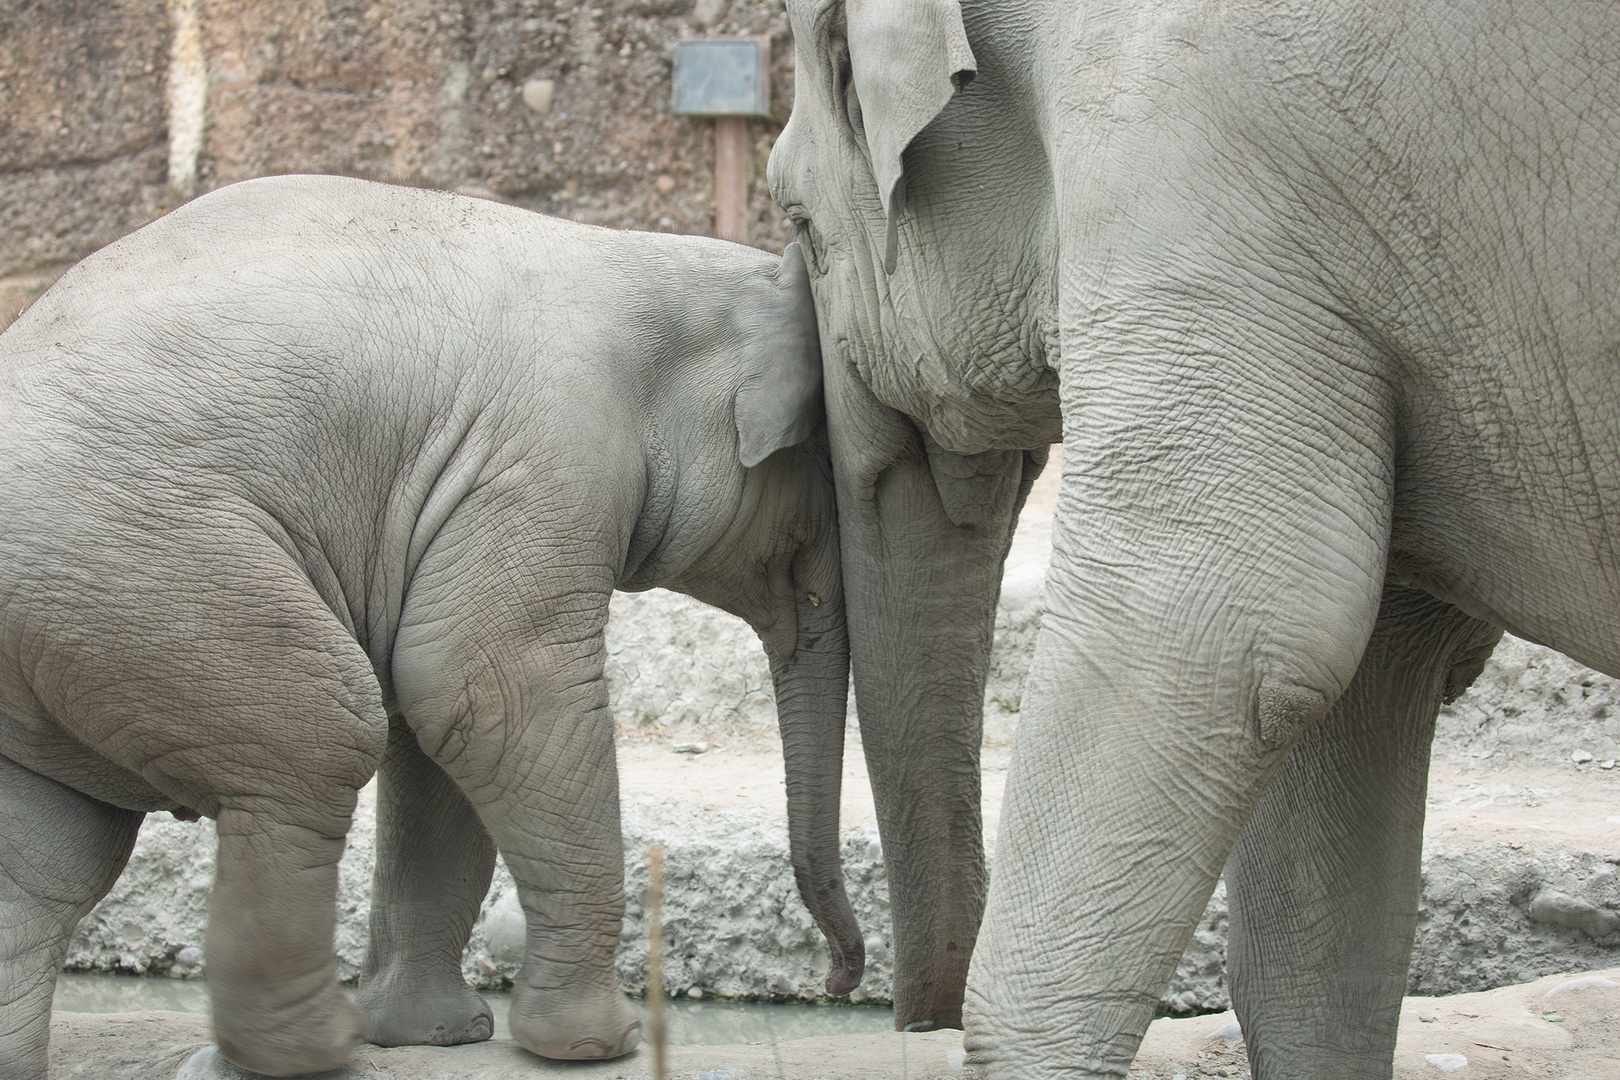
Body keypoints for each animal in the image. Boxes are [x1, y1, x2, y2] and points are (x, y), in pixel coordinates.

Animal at [0, 173, 868, 1075]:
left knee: (50, 854)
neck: (671, 266)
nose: (840, 977)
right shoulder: (545, 454)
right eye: (840, 487)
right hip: (142, 570)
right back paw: (312, 1048)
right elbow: (486, 693)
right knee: (316, 745)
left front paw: (436, 1034)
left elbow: (434, 738)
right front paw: (599, 1044)